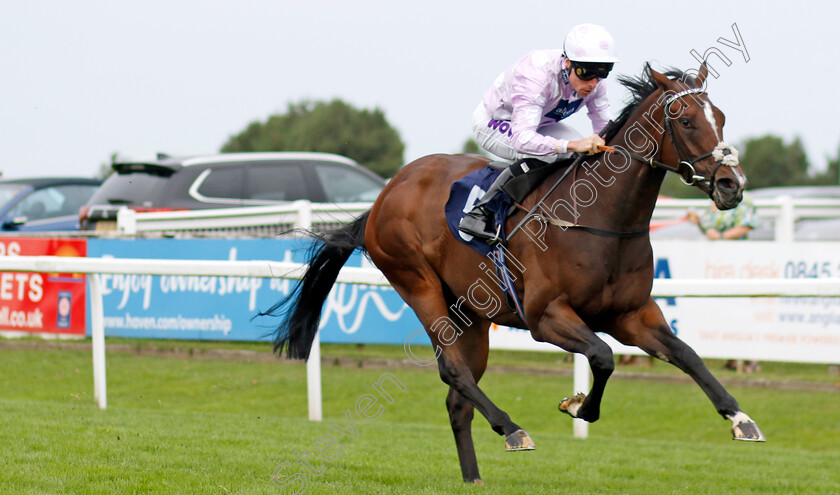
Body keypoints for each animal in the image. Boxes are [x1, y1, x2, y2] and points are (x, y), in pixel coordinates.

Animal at [268, 62, 760, 484]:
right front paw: (577, 406)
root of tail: (385, 194)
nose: (731, 185)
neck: (602, 220)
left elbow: (688, 355)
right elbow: (603, 356)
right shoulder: (546, 317)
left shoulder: (633, 315)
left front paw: (741, 419)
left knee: (458, 399)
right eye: (685, 119)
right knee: (454, 372)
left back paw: (474, 478)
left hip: (471, 314)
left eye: (720, 117)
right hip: (417, 283)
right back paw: (512, 429)